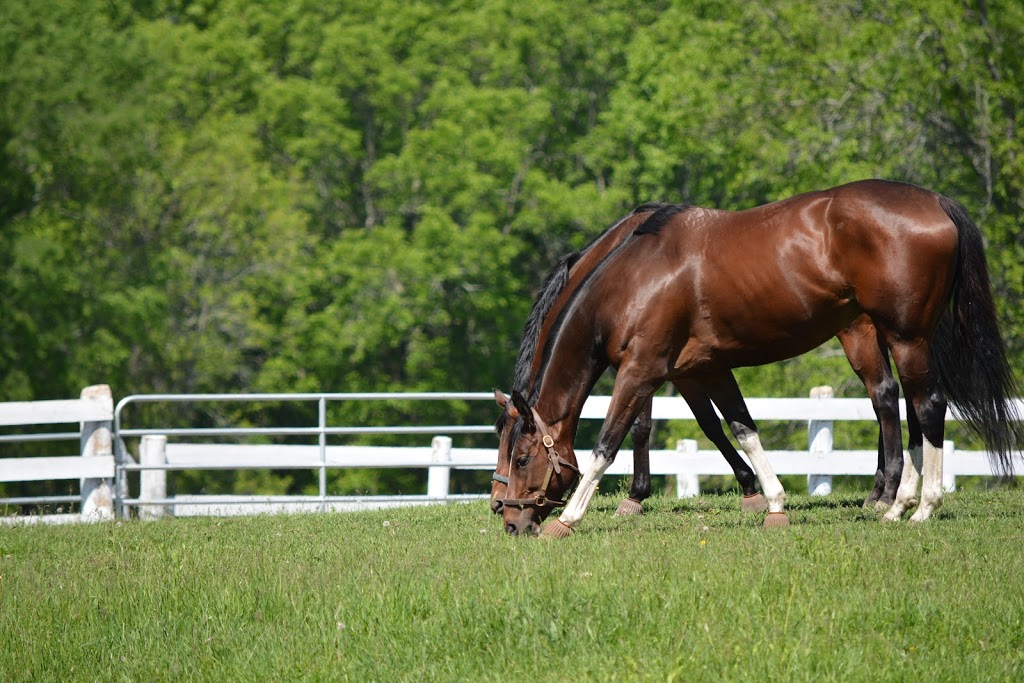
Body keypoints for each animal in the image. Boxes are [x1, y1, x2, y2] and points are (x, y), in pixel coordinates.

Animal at [495, 181, 1015, 540]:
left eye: (521, 458)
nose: (510, 519)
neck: (636, 277)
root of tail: (936, 202)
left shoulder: (642, 370)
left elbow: (609, 443)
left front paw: (570, 518)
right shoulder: (705, 368)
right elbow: (742, 429)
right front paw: (774, 503)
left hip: (905, 337)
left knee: (926, 407)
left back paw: (920, 506)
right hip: (896, 338)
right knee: (904, 405)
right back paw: (896, 502)